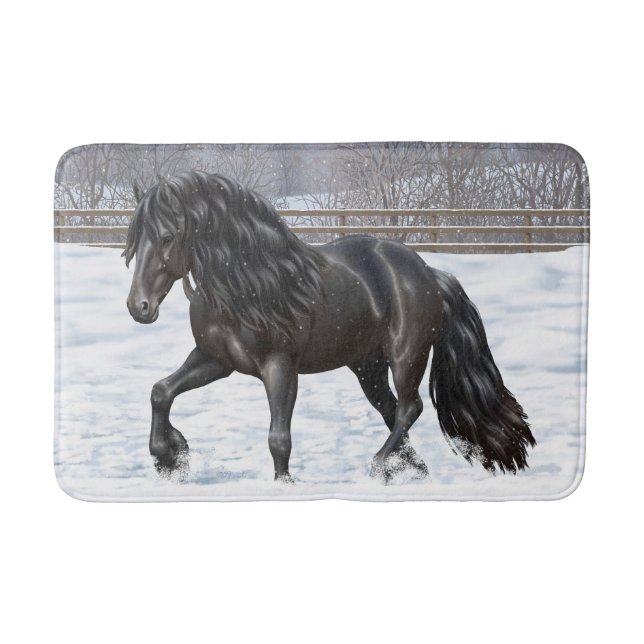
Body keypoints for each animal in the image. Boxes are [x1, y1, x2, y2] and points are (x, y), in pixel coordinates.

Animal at [124, 171, 535, 483]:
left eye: (166, 237)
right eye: (135, 240)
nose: (138, 307)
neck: (249, 285)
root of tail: (429, 273)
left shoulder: (280, 367)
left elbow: (279, 438)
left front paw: (283, 482)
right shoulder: (215, 360)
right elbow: (160, 391)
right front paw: (170, 457)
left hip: (406, 357)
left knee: (410, 408)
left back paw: (380, 466)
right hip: (367, 367)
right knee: (392, 411)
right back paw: (413, 471)